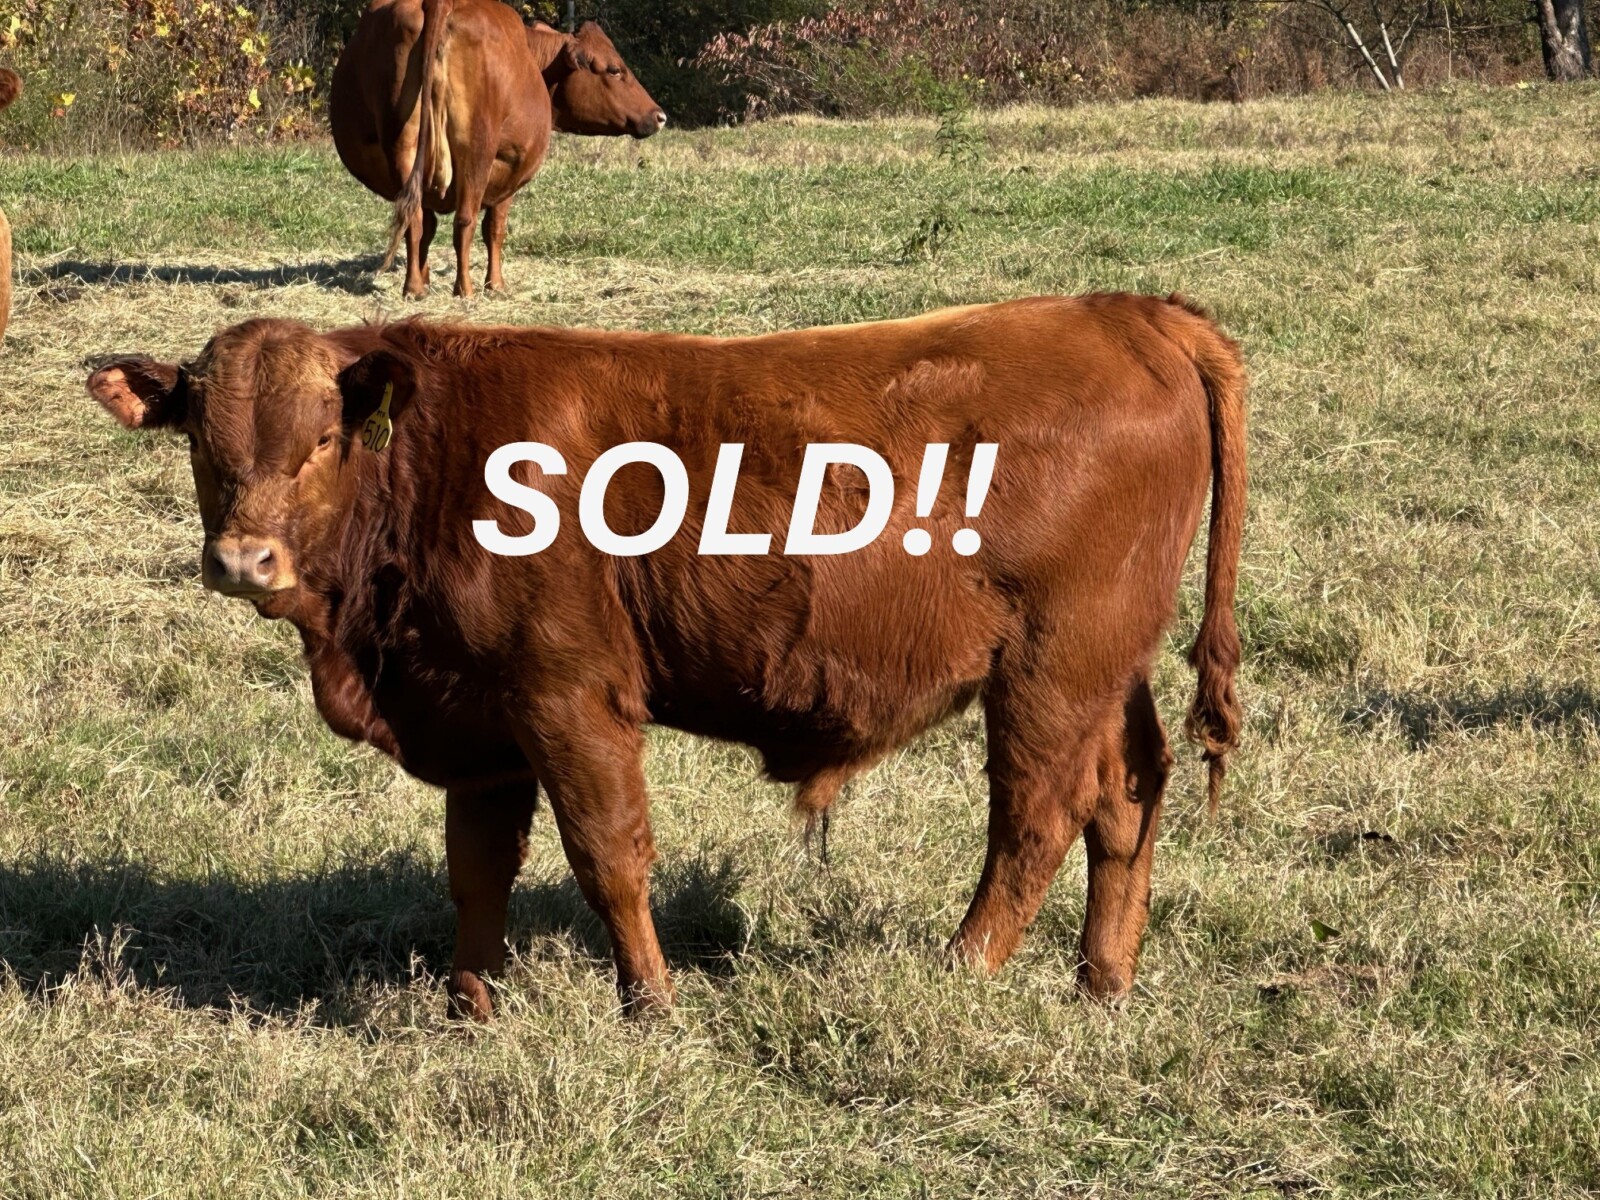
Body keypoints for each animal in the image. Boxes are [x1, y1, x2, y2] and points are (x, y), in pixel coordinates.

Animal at [86, 293, 1246, 1020]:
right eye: (202, 444)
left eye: (321, 439)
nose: (243, 560)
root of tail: (1125, 311)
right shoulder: (480, 719)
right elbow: (476, 872)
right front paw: (469, 1009)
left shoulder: (568, 695)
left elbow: (608, 860)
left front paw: (650, 1006)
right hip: (1106, 671)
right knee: (1127, 798)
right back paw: (1101, 984)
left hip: (1051, 670)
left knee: (1036, 818)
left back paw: (961, 971)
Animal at [330, 0, 666, 300]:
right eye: (614, 70)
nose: (659, 115)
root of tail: (440, 3)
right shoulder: (508, 171)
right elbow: (494, 229)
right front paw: (496, 285)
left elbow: (427, 228)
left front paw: (422, 280)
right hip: (477, 152)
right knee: (464, 221)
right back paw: (465, 290)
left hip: (404, 146)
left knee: (413, 219)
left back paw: (413, 289)